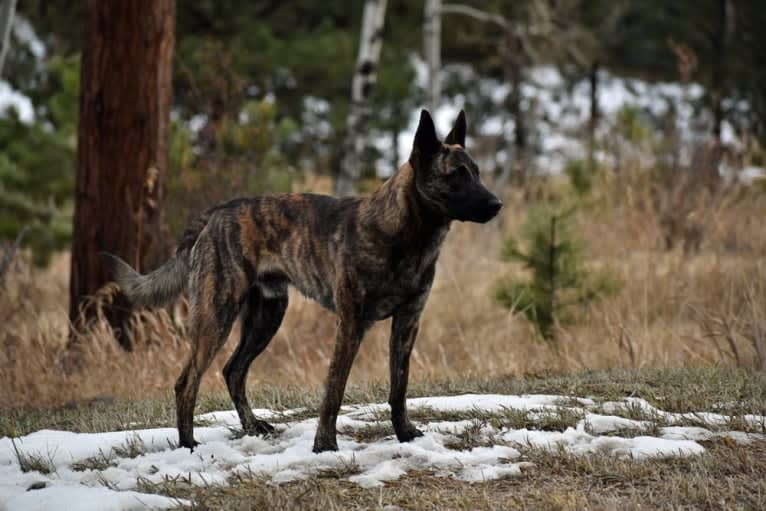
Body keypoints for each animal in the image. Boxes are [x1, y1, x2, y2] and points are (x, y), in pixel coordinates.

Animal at [108, 109, 504, 452]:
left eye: (477, 172)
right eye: (456, 175)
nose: (497, 204)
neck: (403, 234)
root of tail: (216, 213)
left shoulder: (407, 324)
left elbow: (398, 387)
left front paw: (404, 434)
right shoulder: (350, 324)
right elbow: (334, 390)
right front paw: (324, 445)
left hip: (267, 317)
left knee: (233, 371)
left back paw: (251, 427)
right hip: (216, 318)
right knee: (187, 381)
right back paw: (188, 443)